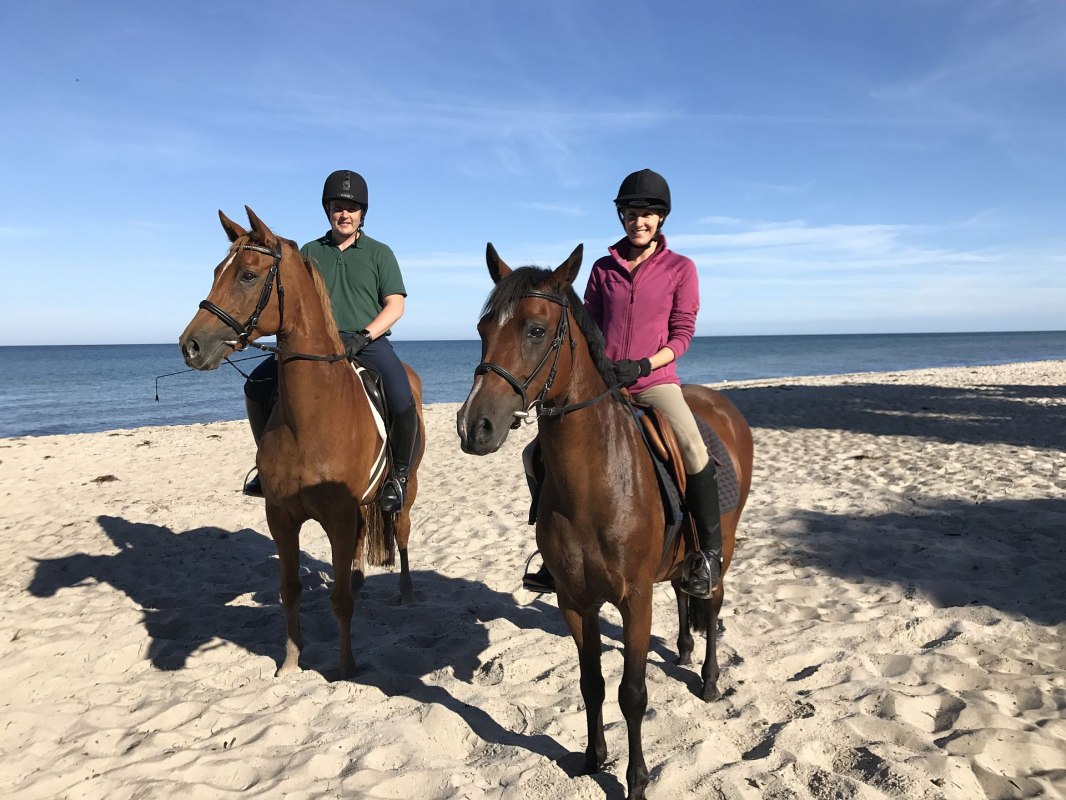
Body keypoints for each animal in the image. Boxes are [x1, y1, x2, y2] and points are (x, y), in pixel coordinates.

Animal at [178, 207, 424, 678]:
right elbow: (289, 589)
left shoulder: (339, 517)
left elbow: (339, 600)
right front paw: (291, 662)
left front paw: (346, 666)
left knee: (400, 530)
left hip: (409, 486)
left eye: (248, 275)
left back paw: (405, 591)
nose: (191, 345)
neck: (313, 420)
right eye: (217, 271)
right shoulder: (281, 516)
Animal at [456, 244, 753, 799]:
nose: (474, 427)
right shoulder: (575, 601)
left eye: (535, 329)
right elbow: (590, 683)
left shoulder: (634, 600)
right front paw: (593, 758)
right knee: (682, 590)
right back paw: (683, 651)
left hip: (722, 547)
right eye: (483, 328)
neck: (594, 482)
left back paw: (707, 679)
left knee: (711, 599)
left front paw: (635, 780)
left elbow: (632, 693)